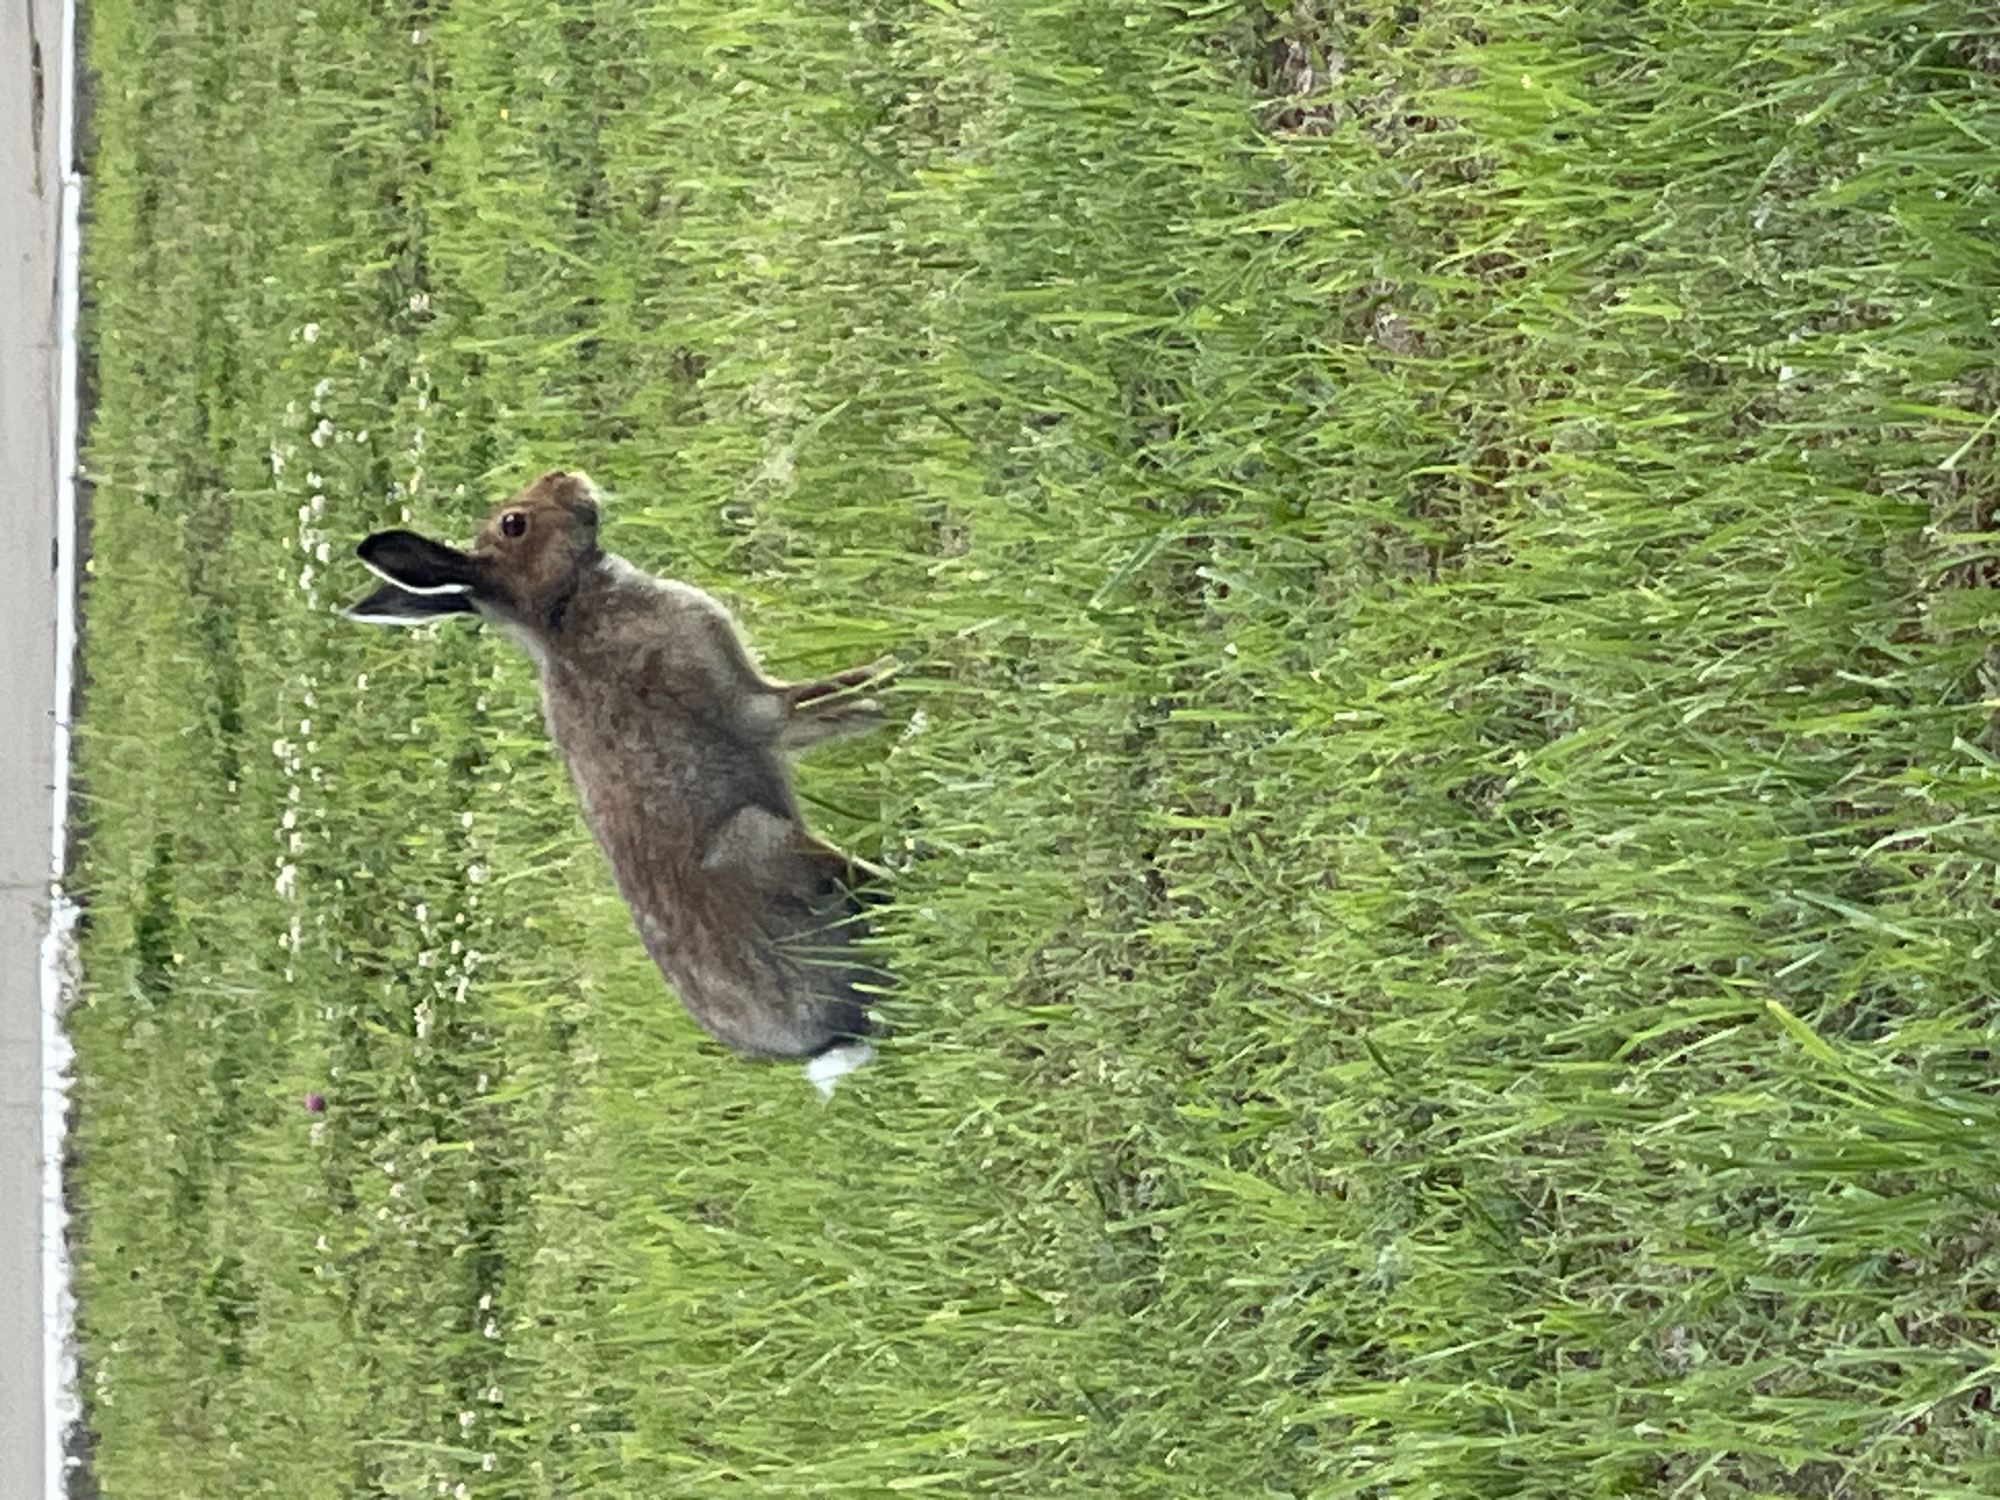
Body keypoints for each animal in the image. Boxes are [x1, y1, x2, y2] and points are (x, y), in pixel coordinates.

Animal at [346, 470, 891, 1092]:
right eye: (514, 524)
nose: (566, 476)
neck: (562, 608)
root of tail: (828, 1040)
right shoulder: (751, 707)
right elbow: (824, 701)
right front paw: (912, 674)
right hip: (764, 839)